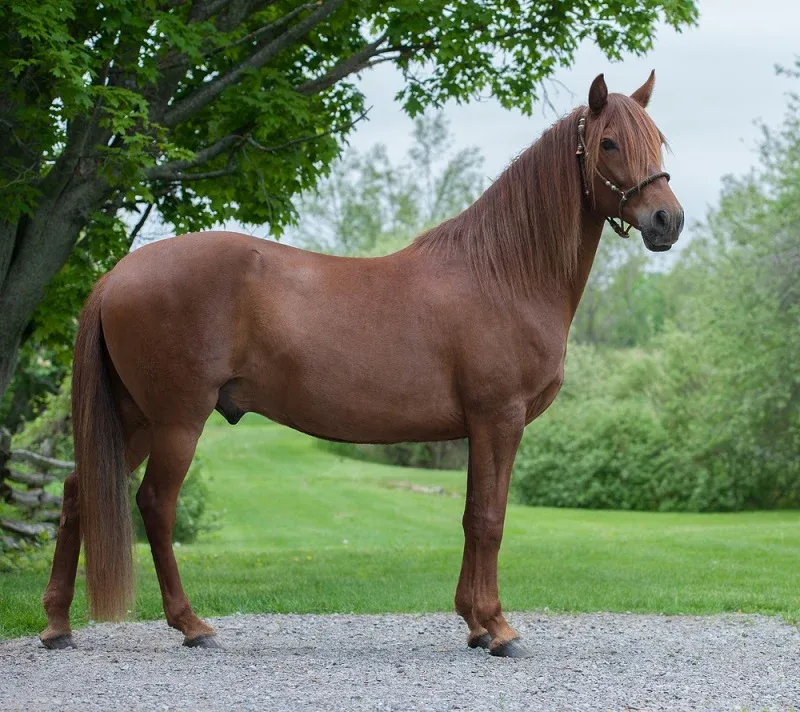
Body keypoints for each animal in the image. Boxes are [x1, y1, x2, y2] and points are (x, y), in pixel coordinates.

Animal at [40, 72, 683, 657]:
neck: (503, 274)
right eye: (608, 143)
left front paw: (474, 624)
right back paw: (191, 625)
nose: (666, 220)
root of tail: (116, 275)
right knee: (155, 504)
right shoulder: (498, 419)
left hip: (134, 418)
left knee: (77, 491)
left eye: (658, 139)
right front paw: (498, 629)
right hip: (176, 419)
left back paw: (57, 626)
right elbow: (490, 519)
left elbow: (472, 517)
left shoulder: (480, 429)